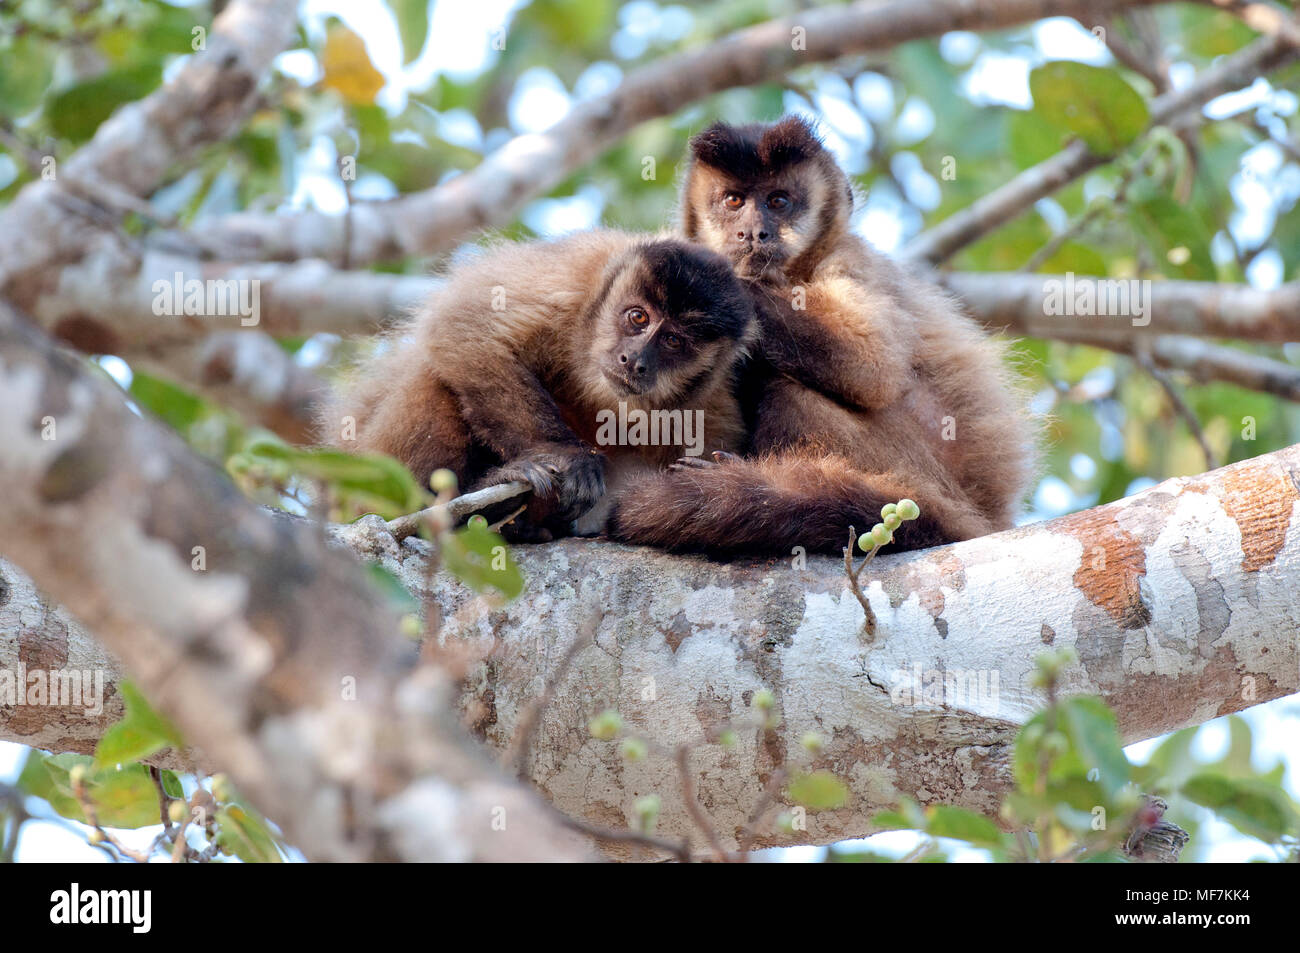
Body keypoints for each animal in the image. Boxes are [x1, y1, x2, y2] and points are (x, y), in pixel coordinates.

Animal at [319, 230, 759, 538]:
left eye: (673, 342)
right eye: (637, 317)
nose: (634, 361)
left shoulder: (711, 398)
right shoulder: (575, 275)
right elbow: (464, 328)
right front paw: (563, 456)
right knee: (436, 376)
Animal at [608, 115, 1034, 553]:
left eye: (778, 202)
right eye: (734, 201)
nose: (753, 232)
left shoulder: (847, 257)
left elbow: (874, 370)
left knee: (786, 384)